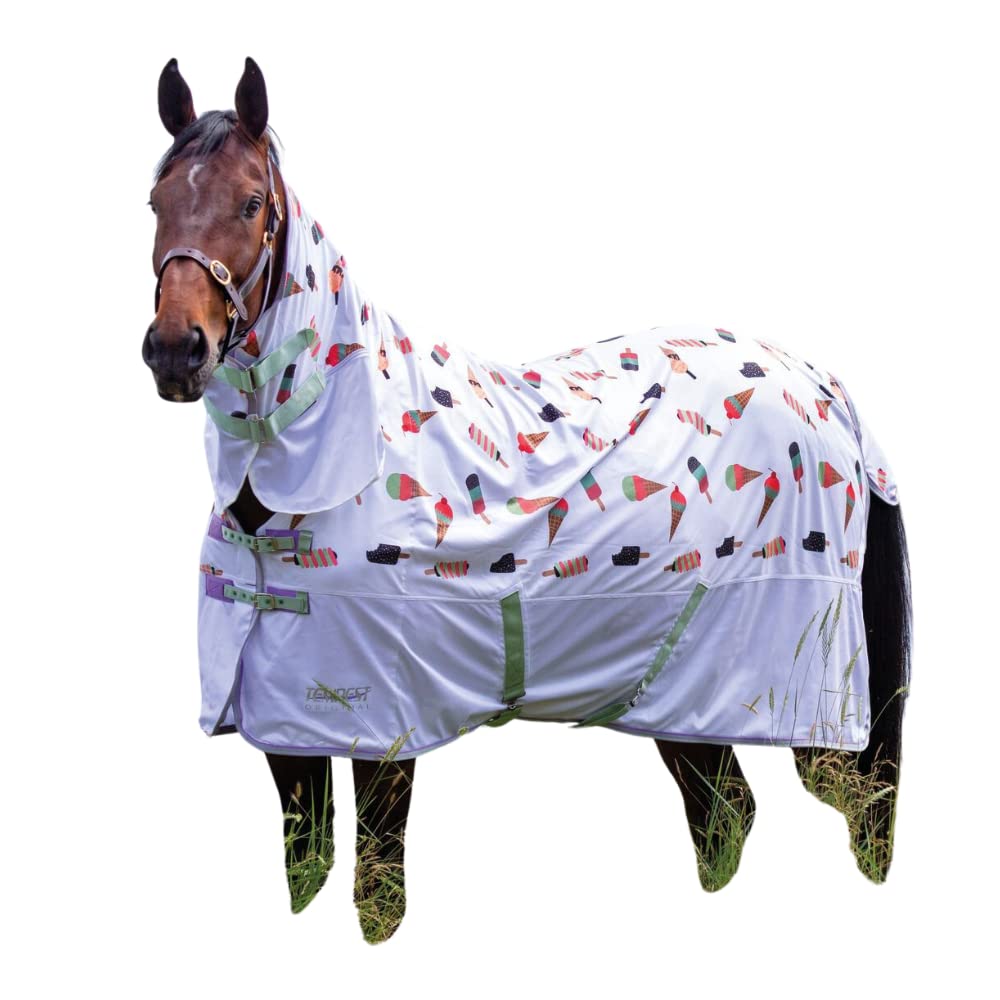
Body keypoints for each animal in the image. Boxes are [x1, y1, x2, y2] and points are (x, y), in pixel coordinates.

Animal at [143, 57, 912, 943]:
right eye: (156, 201)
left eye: (250, 203)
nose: (176, 351)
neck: (341, 449)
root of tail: (826, 389)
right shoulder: (285, 729)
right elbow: (306, 871)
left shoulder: (385, 728)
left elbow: (377, 894)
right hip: (683, 699)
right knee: (726, 819)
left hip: (808, 707)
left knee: (858, 812)